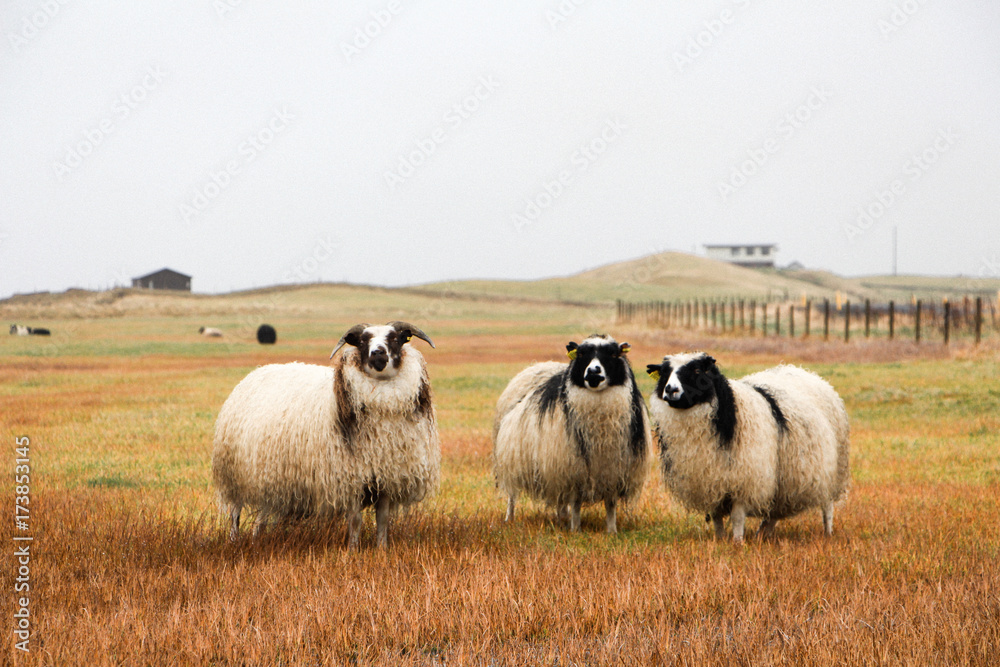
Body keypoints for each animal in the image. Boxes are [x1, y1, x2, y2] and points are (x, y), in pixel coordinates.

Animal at [211, 321, 440, 548]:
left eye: (395, 338)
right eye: (362, 341)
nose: (377, 353)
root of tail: (257, 372)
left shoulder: (387, 478)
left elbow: (383, 520)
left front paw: (381, 550)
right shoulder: (349, 480)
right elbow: (355, 520)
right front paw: (352, 550)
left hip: (268, 477)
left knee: (262, 516)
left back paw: (256, 540)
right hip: (234, 475)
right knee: (235, 513)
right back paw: (234, 541)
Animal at [492, 334, 651, 534]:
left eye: (613, 354)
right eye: (581, 354)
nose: (593, 372)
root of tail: (541, 365)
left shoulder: (613, 469)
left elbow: (610, 504)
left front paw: (611, 530)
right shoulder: (572, 467)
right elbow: (576, 502)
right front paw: (576, 530)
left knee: (560, 497)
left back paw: (562, 516)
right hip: (512, 457)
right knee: (512, 494)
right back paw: (510, 518)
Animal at [646, 352, 850, 542]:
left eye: (697, 370)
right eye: (664, 372)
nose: (670, 389)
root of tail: (805, 372)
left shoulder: (745, 480)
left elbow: (737, 517)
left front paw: (737, 543)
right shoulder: (710, 479)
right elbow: (716, 517)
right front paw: (720, 540)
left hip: (833, 467)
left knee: (827, 506)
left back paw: (827, 532)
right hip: (781, 478)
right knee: (774, 511)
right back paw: (762, 534)